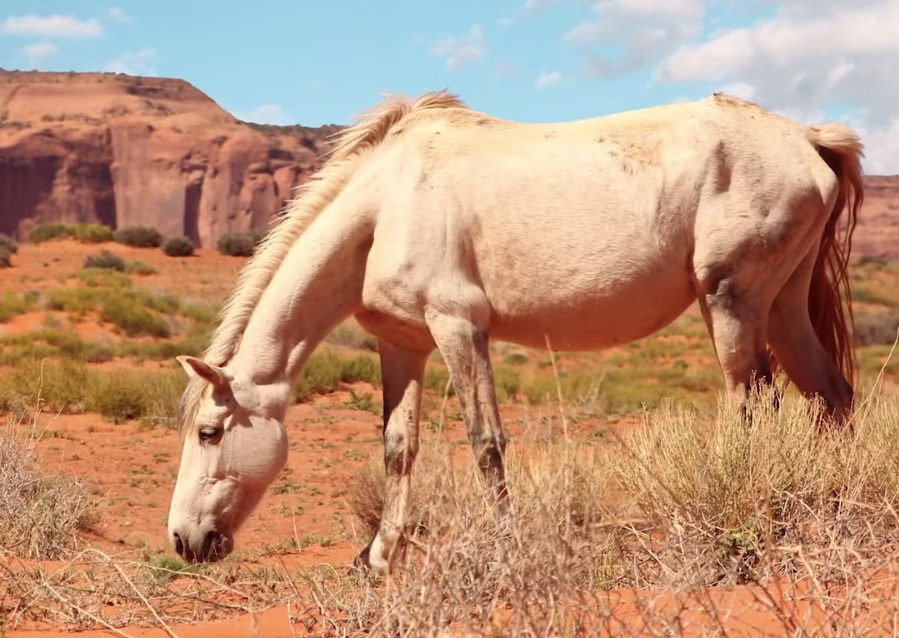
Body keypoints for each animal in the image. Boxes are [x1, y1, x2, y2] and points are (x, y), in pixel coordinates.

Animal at [163, 91, 864, 576]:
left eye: (209, 432)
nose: (183, 541)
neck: (384, 206)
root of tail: (809, 139)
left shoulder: (459, 328)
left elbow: (486, 442)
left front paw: (506, 544)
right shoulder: (403, 345)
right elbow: (399, 447)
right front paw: (379, 557)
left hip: (730, 302)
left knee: (752, 406)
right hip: (782, 308)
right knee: (832, 398)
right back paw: (830, 510)